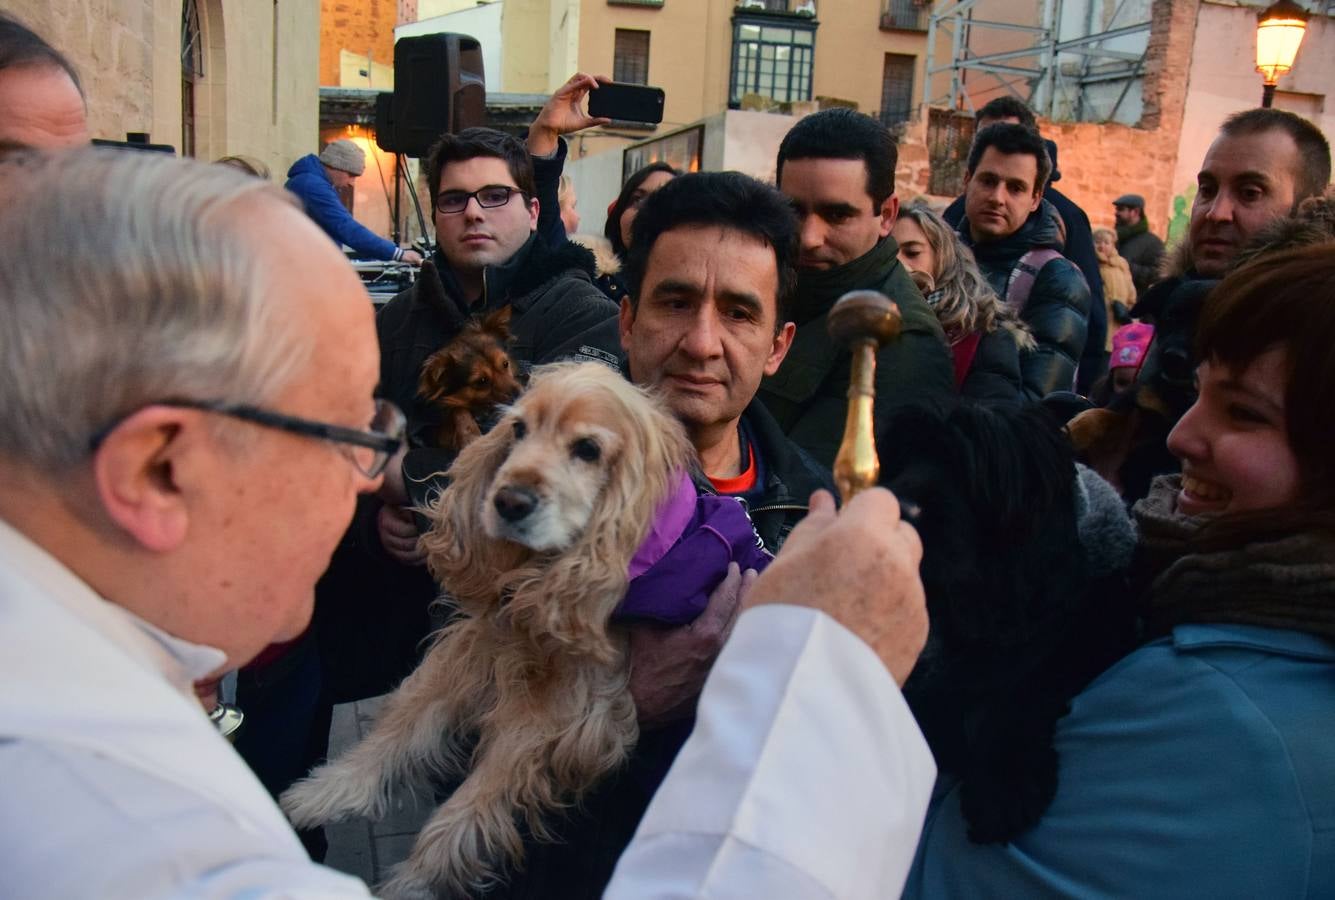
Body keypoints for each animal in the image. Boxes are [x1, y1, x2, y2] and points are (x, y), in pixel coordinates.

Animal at [281, 360, 699, 891]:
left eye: (588, 449)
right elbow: (403, 724)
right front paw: (327, 791)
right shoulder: (478, 645)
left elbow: (469, 804)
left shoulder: (559, 714)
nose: (510, 502)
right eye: (518, 429)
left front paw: (412, 881)